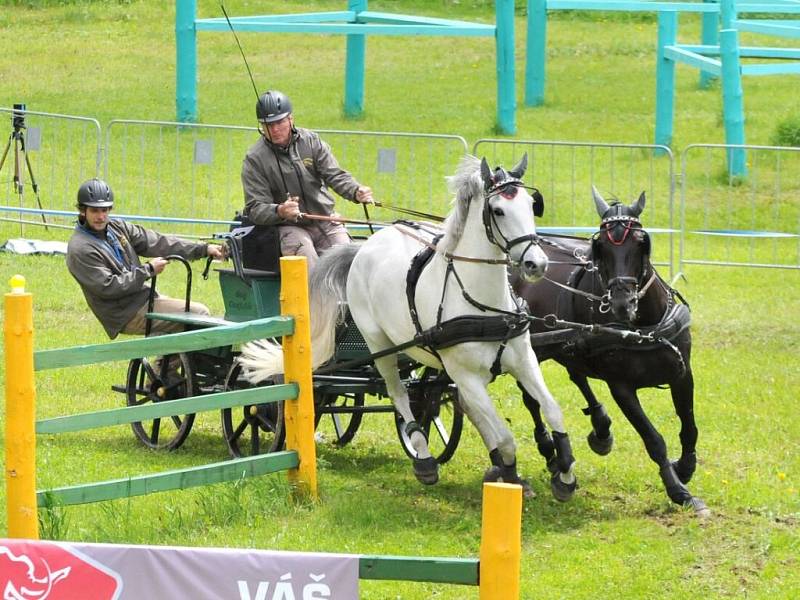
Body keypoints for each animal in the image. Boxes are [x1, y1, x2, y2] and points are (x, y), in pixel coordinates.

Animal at [241, 154, 580, 496]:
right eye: (498, 210)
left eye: (531, 205)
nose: (537, 264)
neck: (483, 304)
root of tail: (364, 247)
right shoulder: (465, 374)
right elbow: (506, 438)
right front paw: (510, 474)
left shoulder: (523, 361)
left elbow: (553, 410)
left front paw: (563, 471)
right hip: (380, 346)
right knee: (399, 394)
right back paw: (424, 458)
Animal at [512, 189, 708, 516]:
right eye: (600, 246)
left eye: (642, 242)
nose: (621, 303)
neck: (641, 326)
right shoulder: (622, 387)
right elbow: (653, 439)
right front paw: (679, 491)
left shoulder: (683, 373)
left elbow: (689, 425)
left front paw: (685, 468)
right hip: (526, 349)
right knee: (532, 398)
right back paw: (551, 451)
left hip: (573, 344)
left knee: (577, 374)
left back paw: (600, 428)